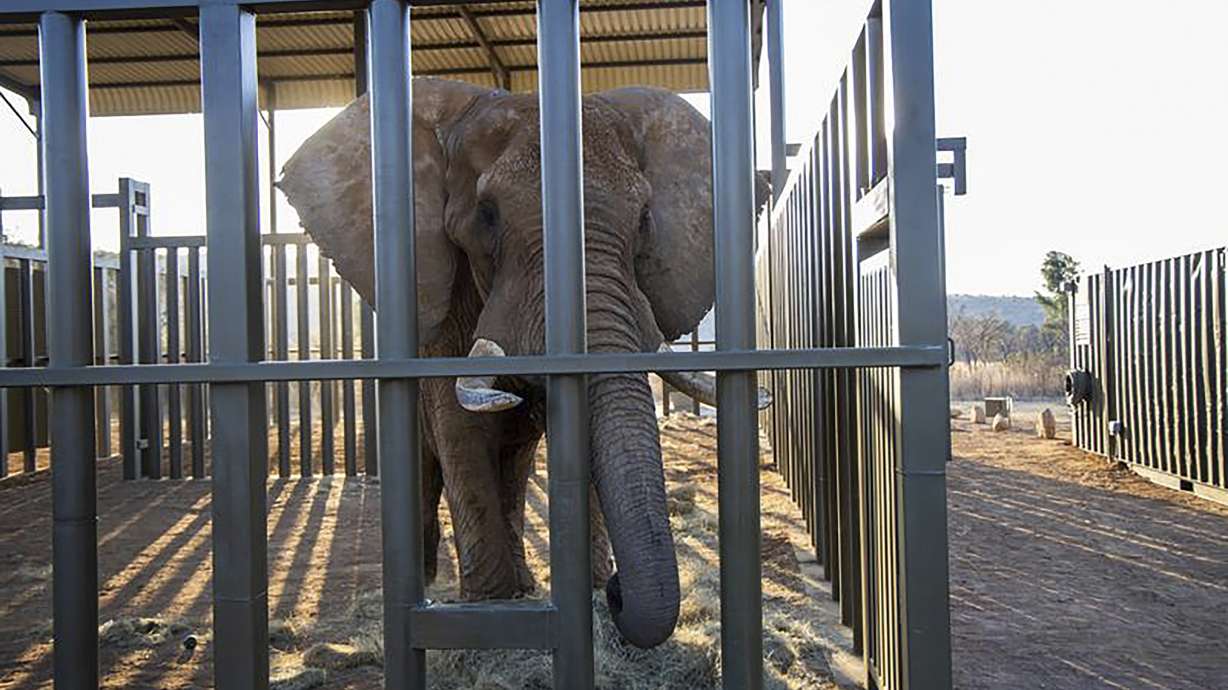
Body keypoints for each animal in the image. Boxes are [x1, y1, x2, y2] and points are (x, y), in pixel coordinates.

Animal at [277, 78, 769, 649]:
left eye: (645, 219)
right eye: (487, 214)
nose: (620, 591)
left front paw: (587, 591)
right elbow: (461, 428)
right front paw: (487, 613)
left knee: (512, 470)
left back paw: (523, 585)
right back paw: (432, 583)